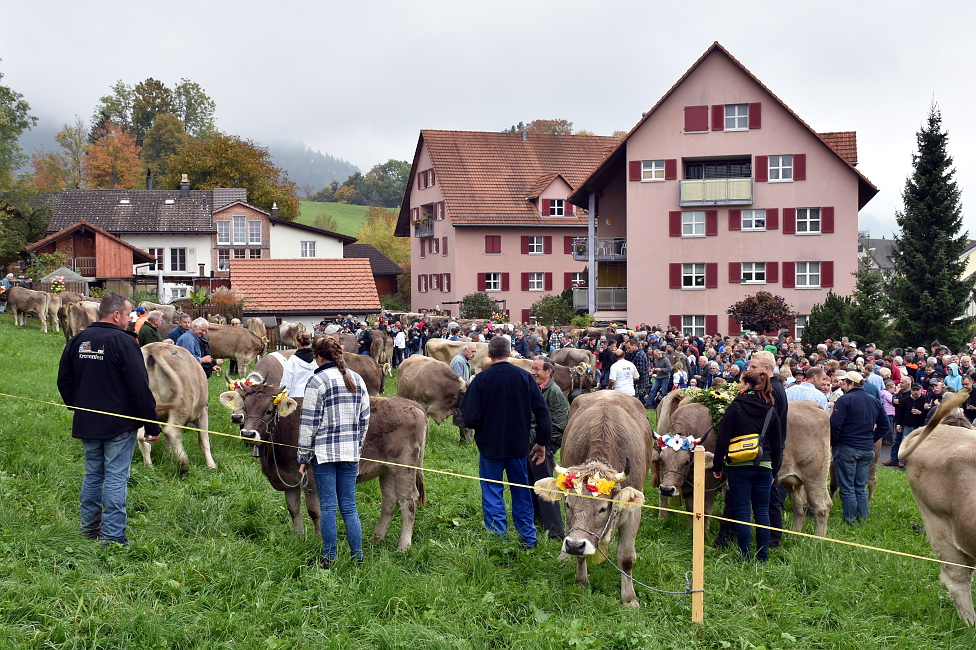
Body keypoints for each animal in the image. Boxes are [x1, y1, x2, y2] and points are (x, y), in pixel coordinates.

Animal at [225, 384, 430, 548]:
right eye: (244, 408)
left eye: (268, 411)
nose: (248, 433)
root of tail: (412, 405)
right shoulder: (289, 479)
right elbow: (293, 509)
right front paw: (298, 538)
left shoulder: (311, 479)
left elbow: (314, 511)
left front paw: (317, 539)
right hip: (386, 469)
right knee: (390, 501)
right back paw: (375, 539)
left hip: (404, 467)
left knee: (408, 501)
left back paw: (403, 546)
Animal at [528, 390, 652, 608]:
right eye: (568, 504)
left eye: (602, 508)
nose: (574, 545)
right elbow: (579, 555)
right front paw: (580, 582)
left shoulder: (633, 511)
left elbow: (626, 556)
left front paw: (629, 597)